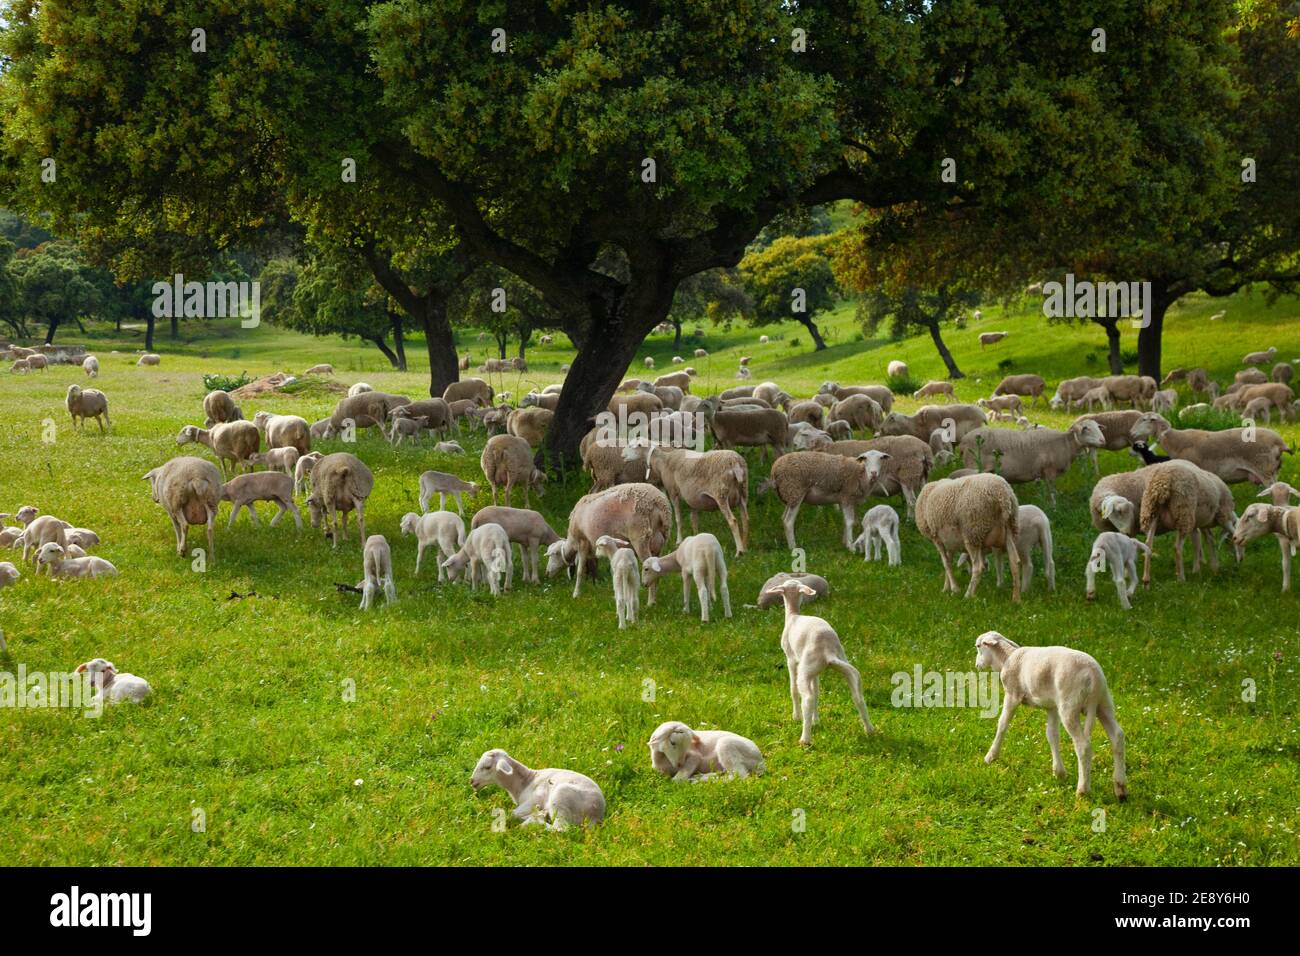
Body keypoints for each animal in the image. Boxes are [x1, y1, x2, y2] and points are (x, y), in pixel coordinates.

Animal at [470, 749, 605, 832]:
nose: (471, 781)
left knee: (560, 828)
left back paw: (534, 821)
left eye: (487, 767)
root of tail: (596, 815)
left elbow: (512, 813)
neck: (524, 782)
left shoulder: (536, 799)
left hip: (561, 797)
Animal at [764, 574, 878, 749]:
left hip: (804, 670)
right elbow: (817, 691)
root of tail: (828, 651)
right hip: (837, 663)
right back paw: (869, 730)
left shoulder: (791, 659)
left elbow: (793, 689)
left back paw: (805, 738)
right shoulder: (815, 673)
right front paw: (816, 720)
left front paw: (797, 717)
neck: (793, 616)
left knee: (807, 698)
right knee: (856, 696)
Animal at [951, 421, 1102, 509]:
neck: (1065, 443)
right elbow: (1052, 492)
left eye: (1098, 427)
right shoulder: (1050, 471)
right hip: (973, 465)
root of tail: (963, 442)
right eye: (1086, 428)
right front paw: (1054, 508)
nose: (1102, 440)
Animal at [977, 634, 1128, 801]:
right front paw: (1059, 772)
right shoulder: (1051, 707)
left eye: (978, 646)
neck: (1005, 657)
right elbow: (1052, 735)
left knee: (1083, 745)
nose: (977, 665)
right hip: (1104, 703)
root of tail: (1094, 676)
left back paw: (1082, 790)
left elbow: (1002, 724)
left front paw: (991, 757)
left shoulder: (1012, 695)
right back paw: (1120, 787)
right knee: (1117, 736)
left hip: (1069, 706)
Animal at [1128, 411, 1289, 486]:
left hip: (1264, 470)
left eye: (1144, 420)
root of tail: (1279, 441)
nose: (1131, 432)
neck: (1176, 441)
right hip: (1273, 471)